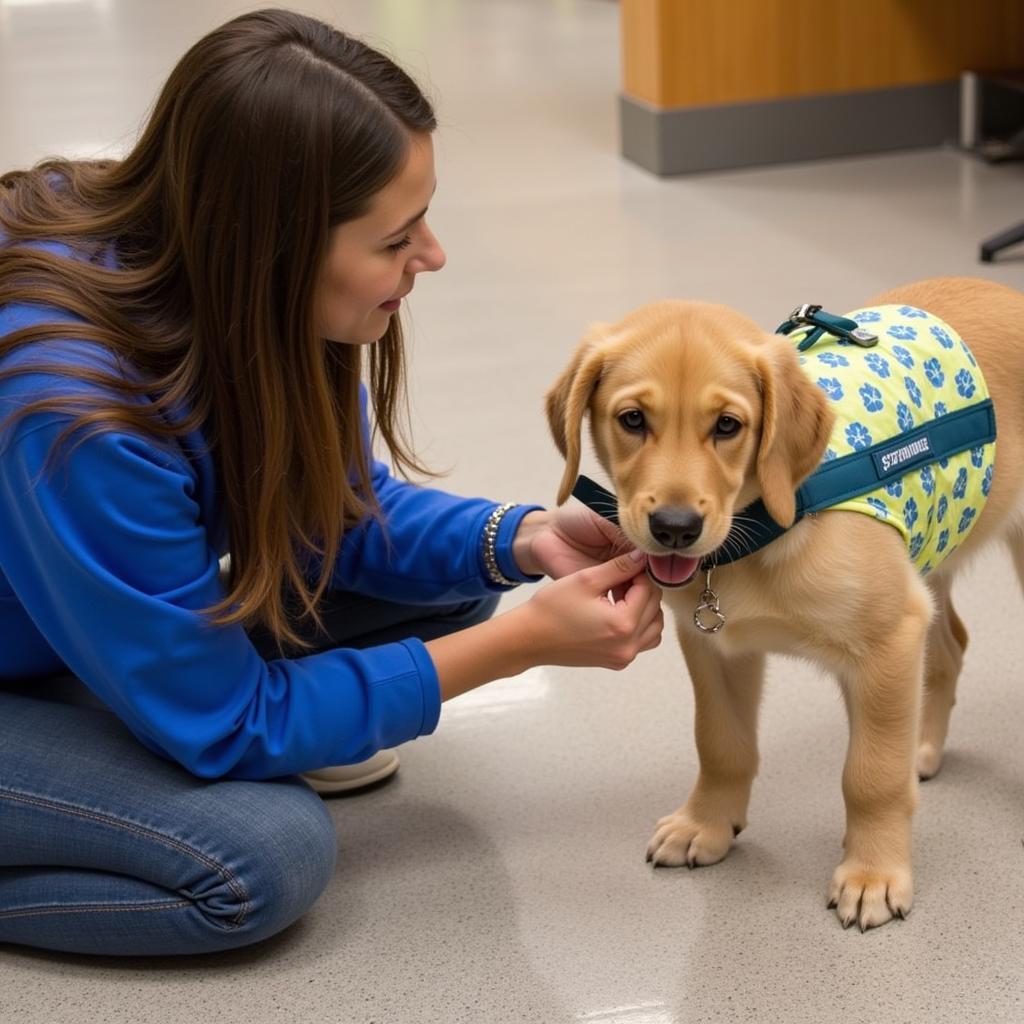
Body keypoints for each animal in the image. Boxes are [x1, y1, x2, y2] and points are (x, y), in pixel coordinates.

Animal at [548, 278, 1024, 929]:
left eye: (728, 426)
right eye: (632, 419)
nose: (675, 528)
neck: (767, 523)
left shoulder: (889, 639)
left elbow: (871, 775)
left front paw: (873, 873)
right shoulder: (714, 647)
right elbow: (721, 744)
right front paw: (707, 824)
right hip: (933, 550)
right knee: (950, 647)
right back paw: (923, 748)